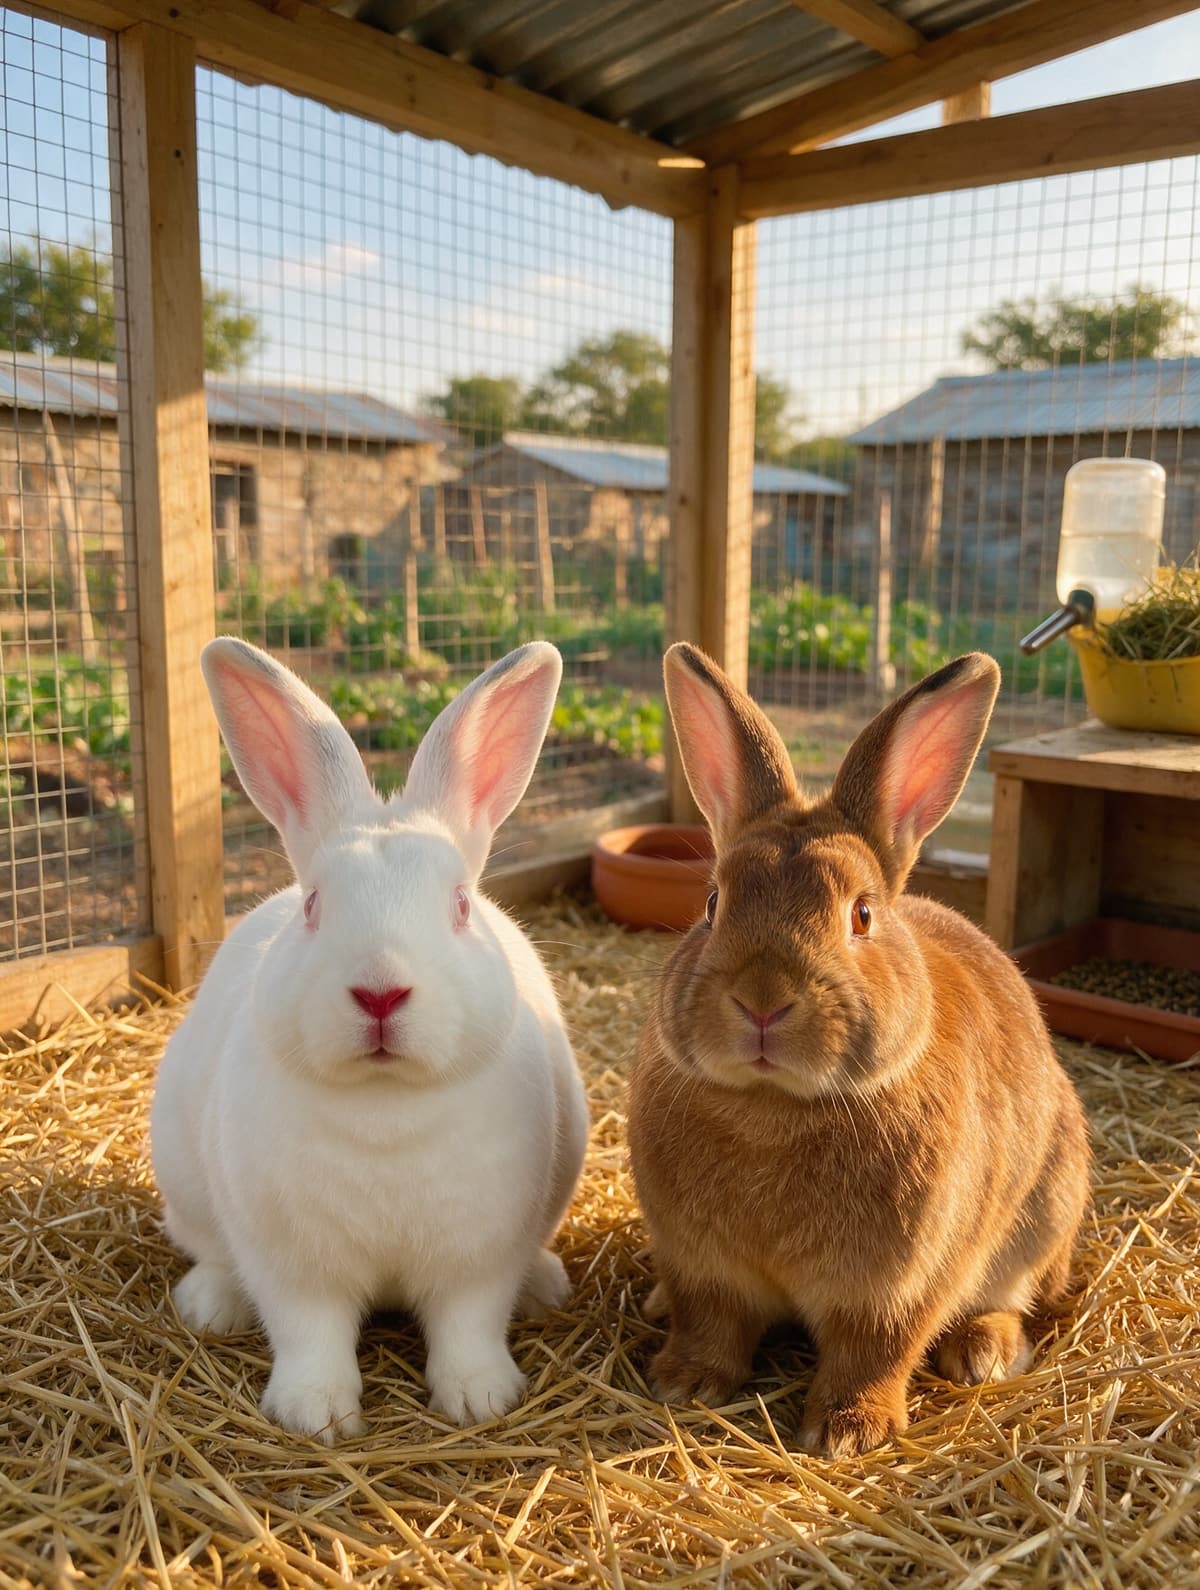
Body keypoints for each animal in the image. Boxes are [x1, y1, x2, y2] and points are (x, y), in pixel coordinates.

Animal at [150, 638, 588, 1443]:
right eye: (314, 904)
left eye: (460, 906)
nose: (380, 992)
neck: (387, 1106)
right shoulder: (293, 1265)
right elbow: (310, 1334)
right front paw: (315, 1416)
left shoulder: (478, 1259)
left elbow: (468, 1326)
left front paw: (480, 1398)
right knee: (211, 1254)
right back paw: (210, 1305)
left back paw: (545, 1285)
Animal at [628, 645, 1090, 1459]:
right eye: (713, 903)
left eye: (863, 914)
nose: (763, 1001)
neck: (773, 1107)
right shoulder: (703, 1270)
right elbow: (711, 1324)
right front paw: (684, 1384)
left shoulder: (896, 1289)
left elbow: (873, 1352)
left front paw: (846, 1431)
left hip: (1046, 1211)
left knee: (1015, 1295)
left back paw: (984, 1351)